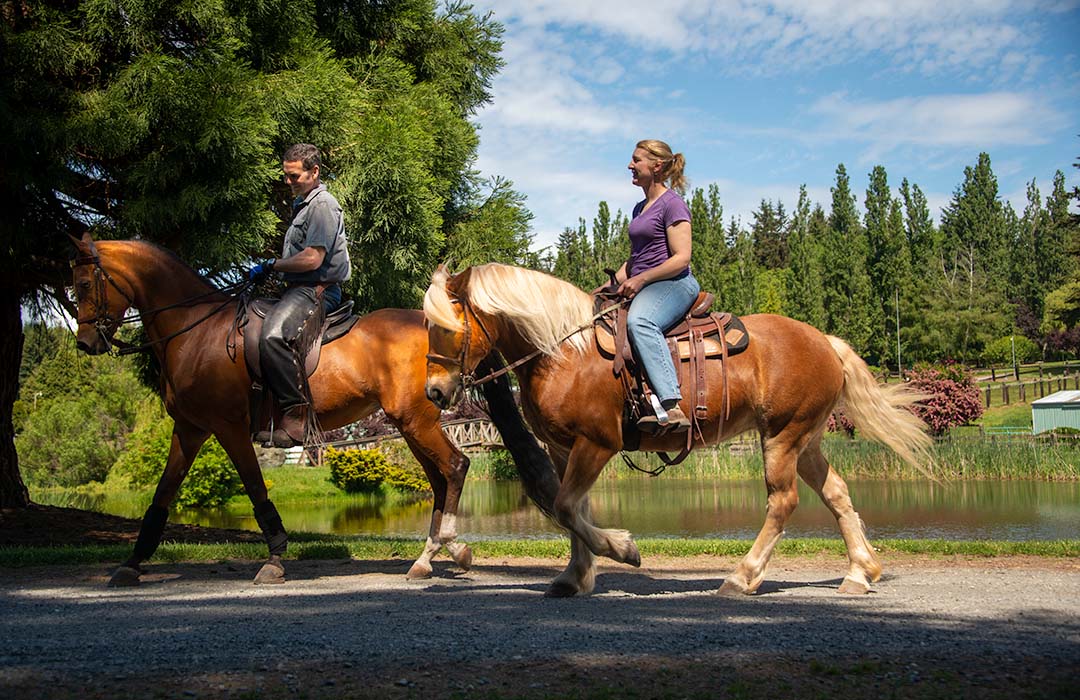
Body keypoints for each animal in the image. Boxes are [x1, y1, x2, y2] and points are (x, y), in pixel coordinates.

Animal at [69, 233, 470, 583]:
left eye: (85, 285)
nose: (85, 343)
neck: (194, 331)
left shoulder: (228, 427)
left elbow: (255, 489)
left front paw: (275, 559)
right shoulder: (189, 429)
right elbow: (162, 494)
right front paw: (131, 563)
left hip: (415, 420)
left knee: (455, 466)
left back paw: (452, 547)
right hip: (410, 423)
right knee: (439, 479)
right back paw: (426, 558)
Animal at [419, 262, 928, 596]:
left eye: (446, 327)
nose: (435, 392)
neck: (564, 351)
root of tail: (825, 340)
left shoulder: (598, 443)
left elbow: (565, 507)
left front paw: (623, 548)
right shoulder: (565, 448)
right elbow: (572, 508)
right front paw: (574, 576)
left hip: (782, 437)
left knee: (782, 502)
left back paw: (742, 576)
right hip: (806, 440)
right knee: (836, 492)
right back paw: (860, 572)